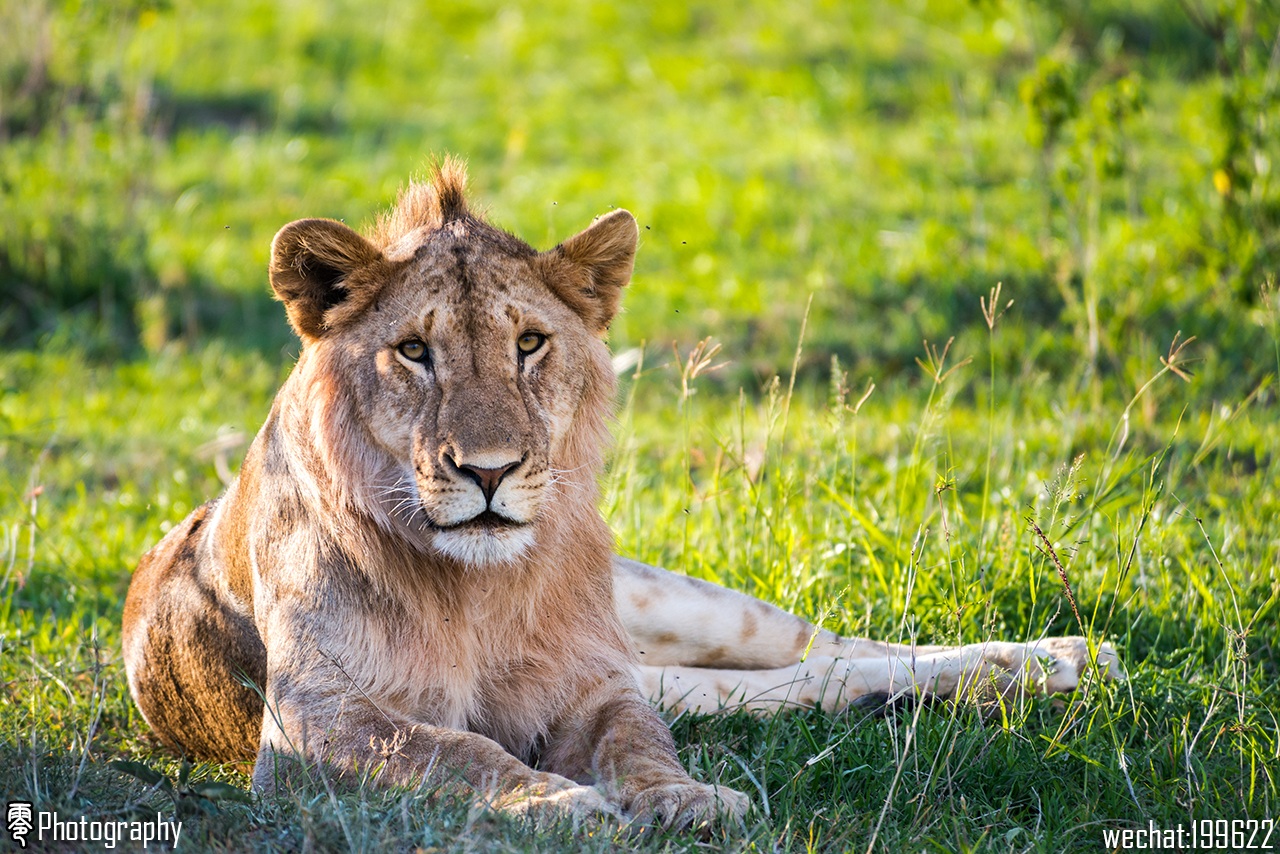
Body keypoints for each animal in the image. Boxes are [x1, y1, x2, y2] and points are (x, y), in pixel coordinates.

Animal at [120, 158, 1121, 829]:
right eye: (414, 351)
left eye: (529, 343)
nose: (489, 471)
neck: (477, 591)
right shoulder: (309, 726)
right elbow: (452, 749)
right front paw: (560, 804)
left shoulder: (595, 683)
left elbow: (637, 742)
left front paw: (684, 800)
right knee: (794, 682)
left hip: (673, 607)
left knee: (828, 647)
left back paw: (1058, 661)